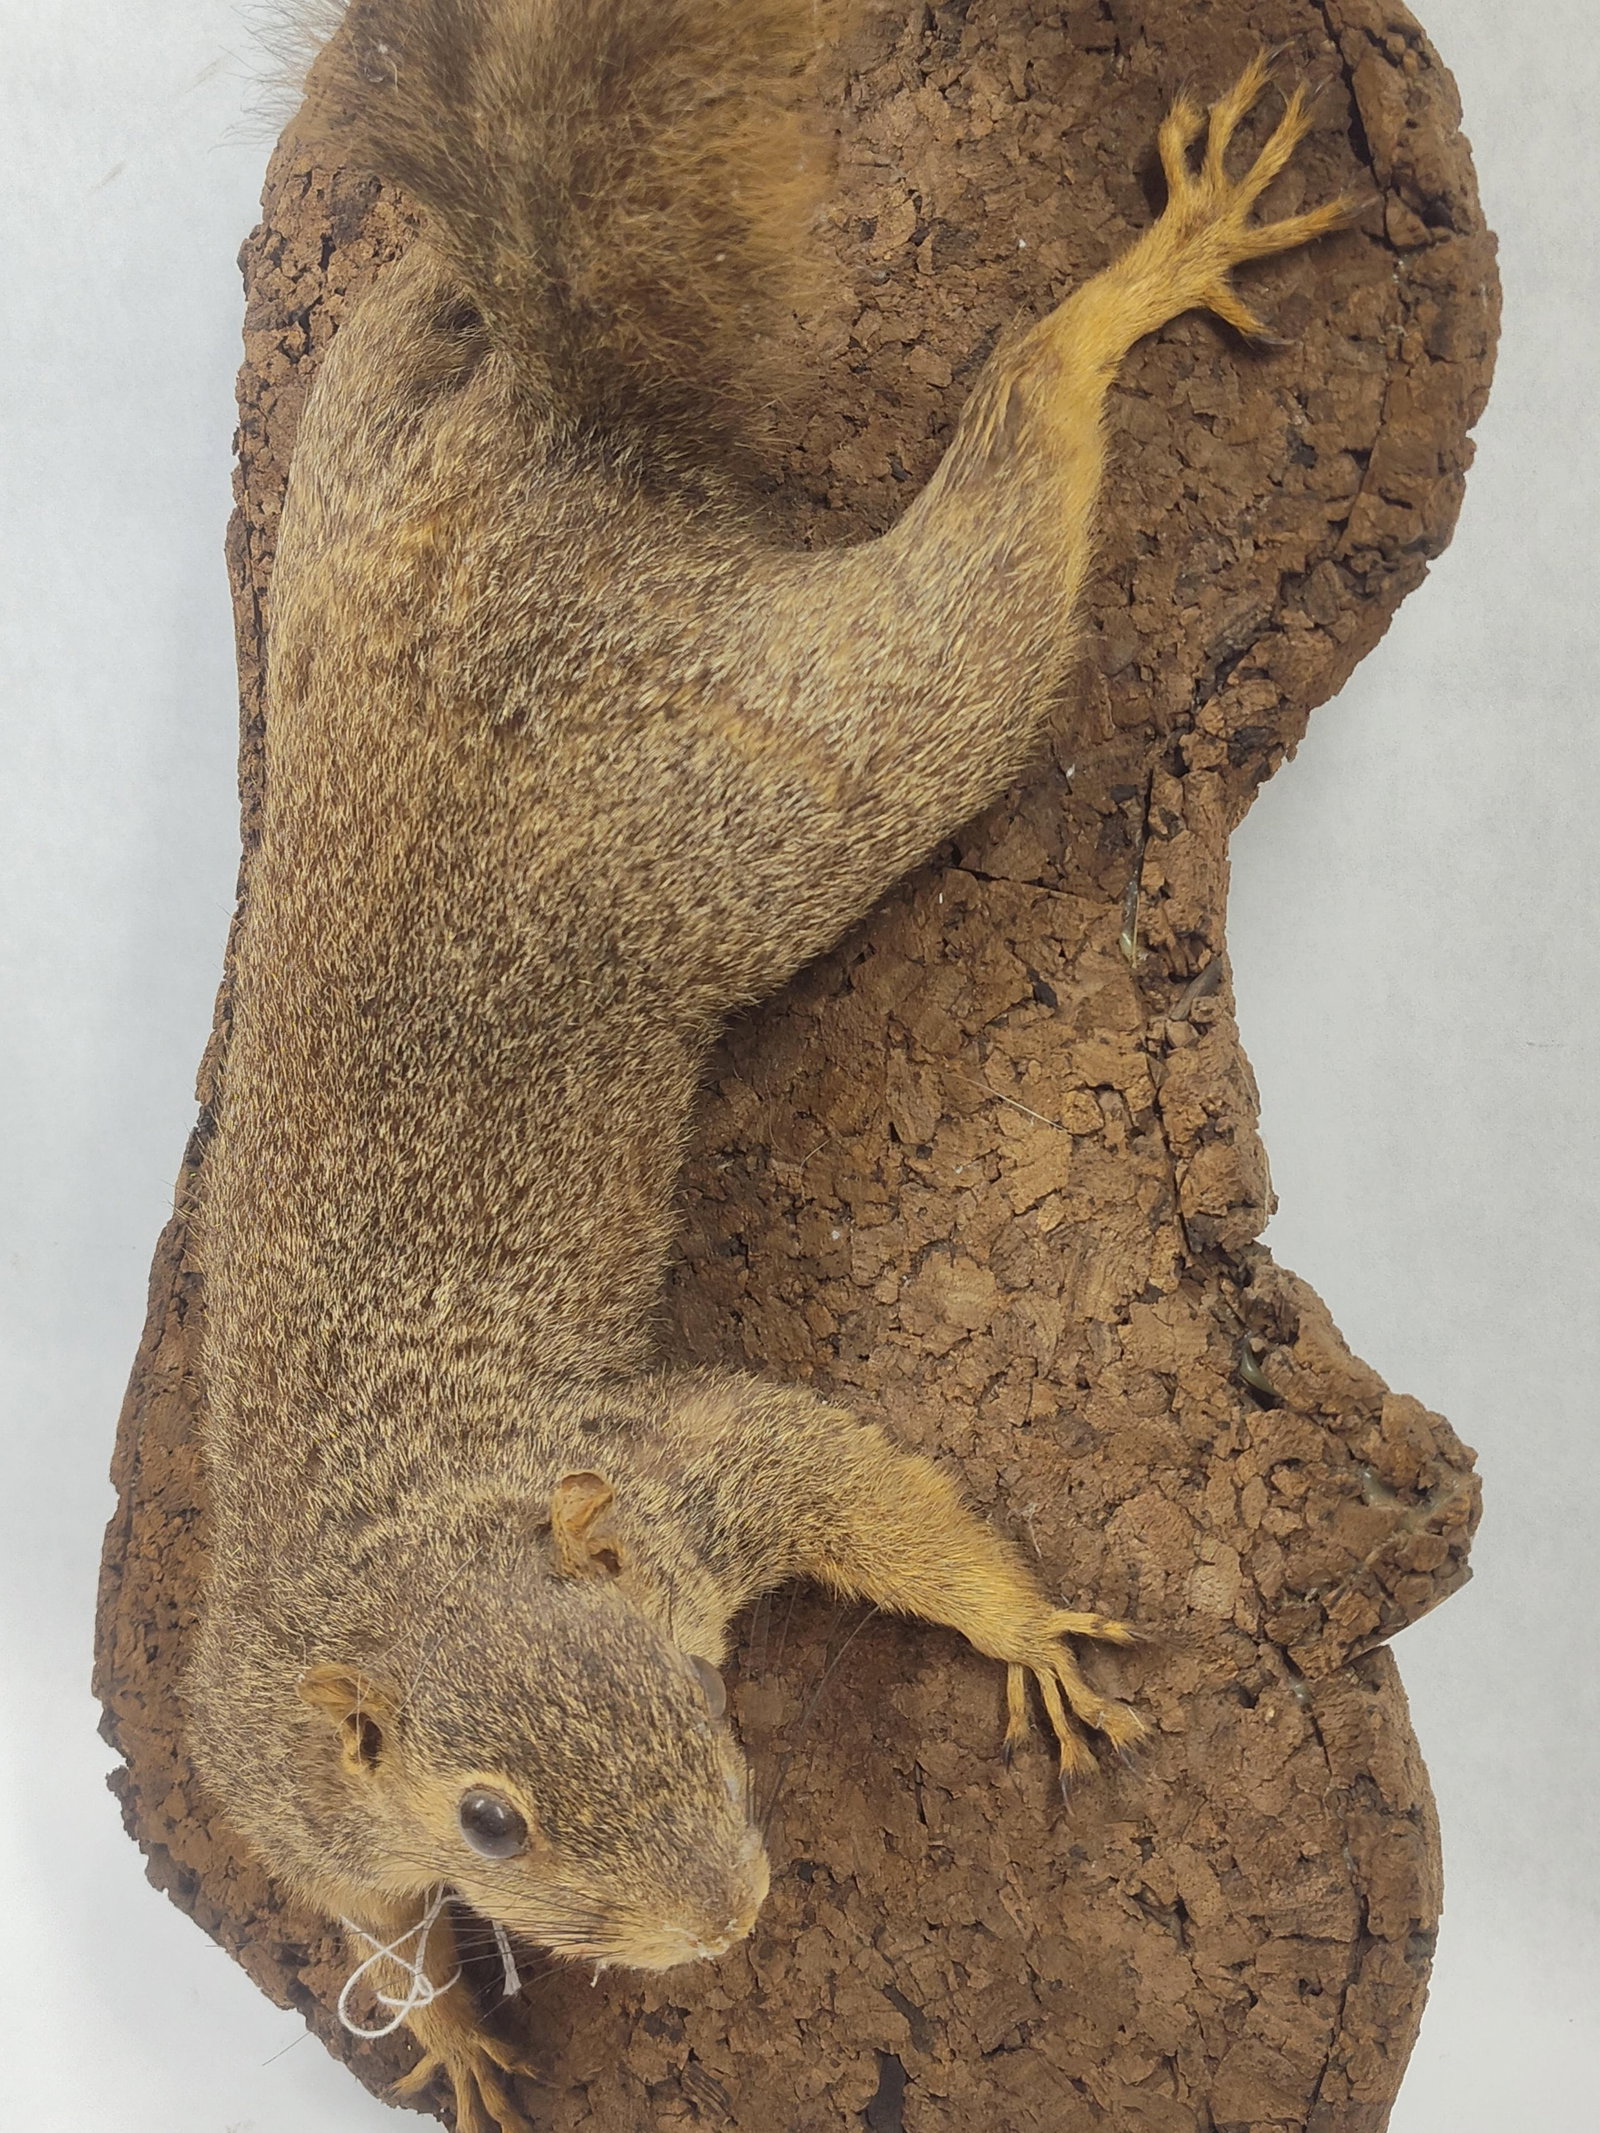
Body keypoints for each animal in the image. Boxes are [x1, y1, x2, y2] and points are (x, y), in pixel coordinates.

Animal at [185, 4, 1358, 2128]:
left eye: (688, 1682)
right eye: (488, 1817)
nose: (728, 1917)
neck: (420, 1546)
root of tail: (548, 445)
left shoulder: (682, 1480)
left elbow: (846, 1474)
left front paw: (1019, 1625)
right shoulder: (277, 1772)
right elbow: (355, 1912)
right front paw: (453, 2023)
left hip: (783, 772)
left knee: (991, 528)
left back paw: (1120, 300)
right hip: (360, 465)